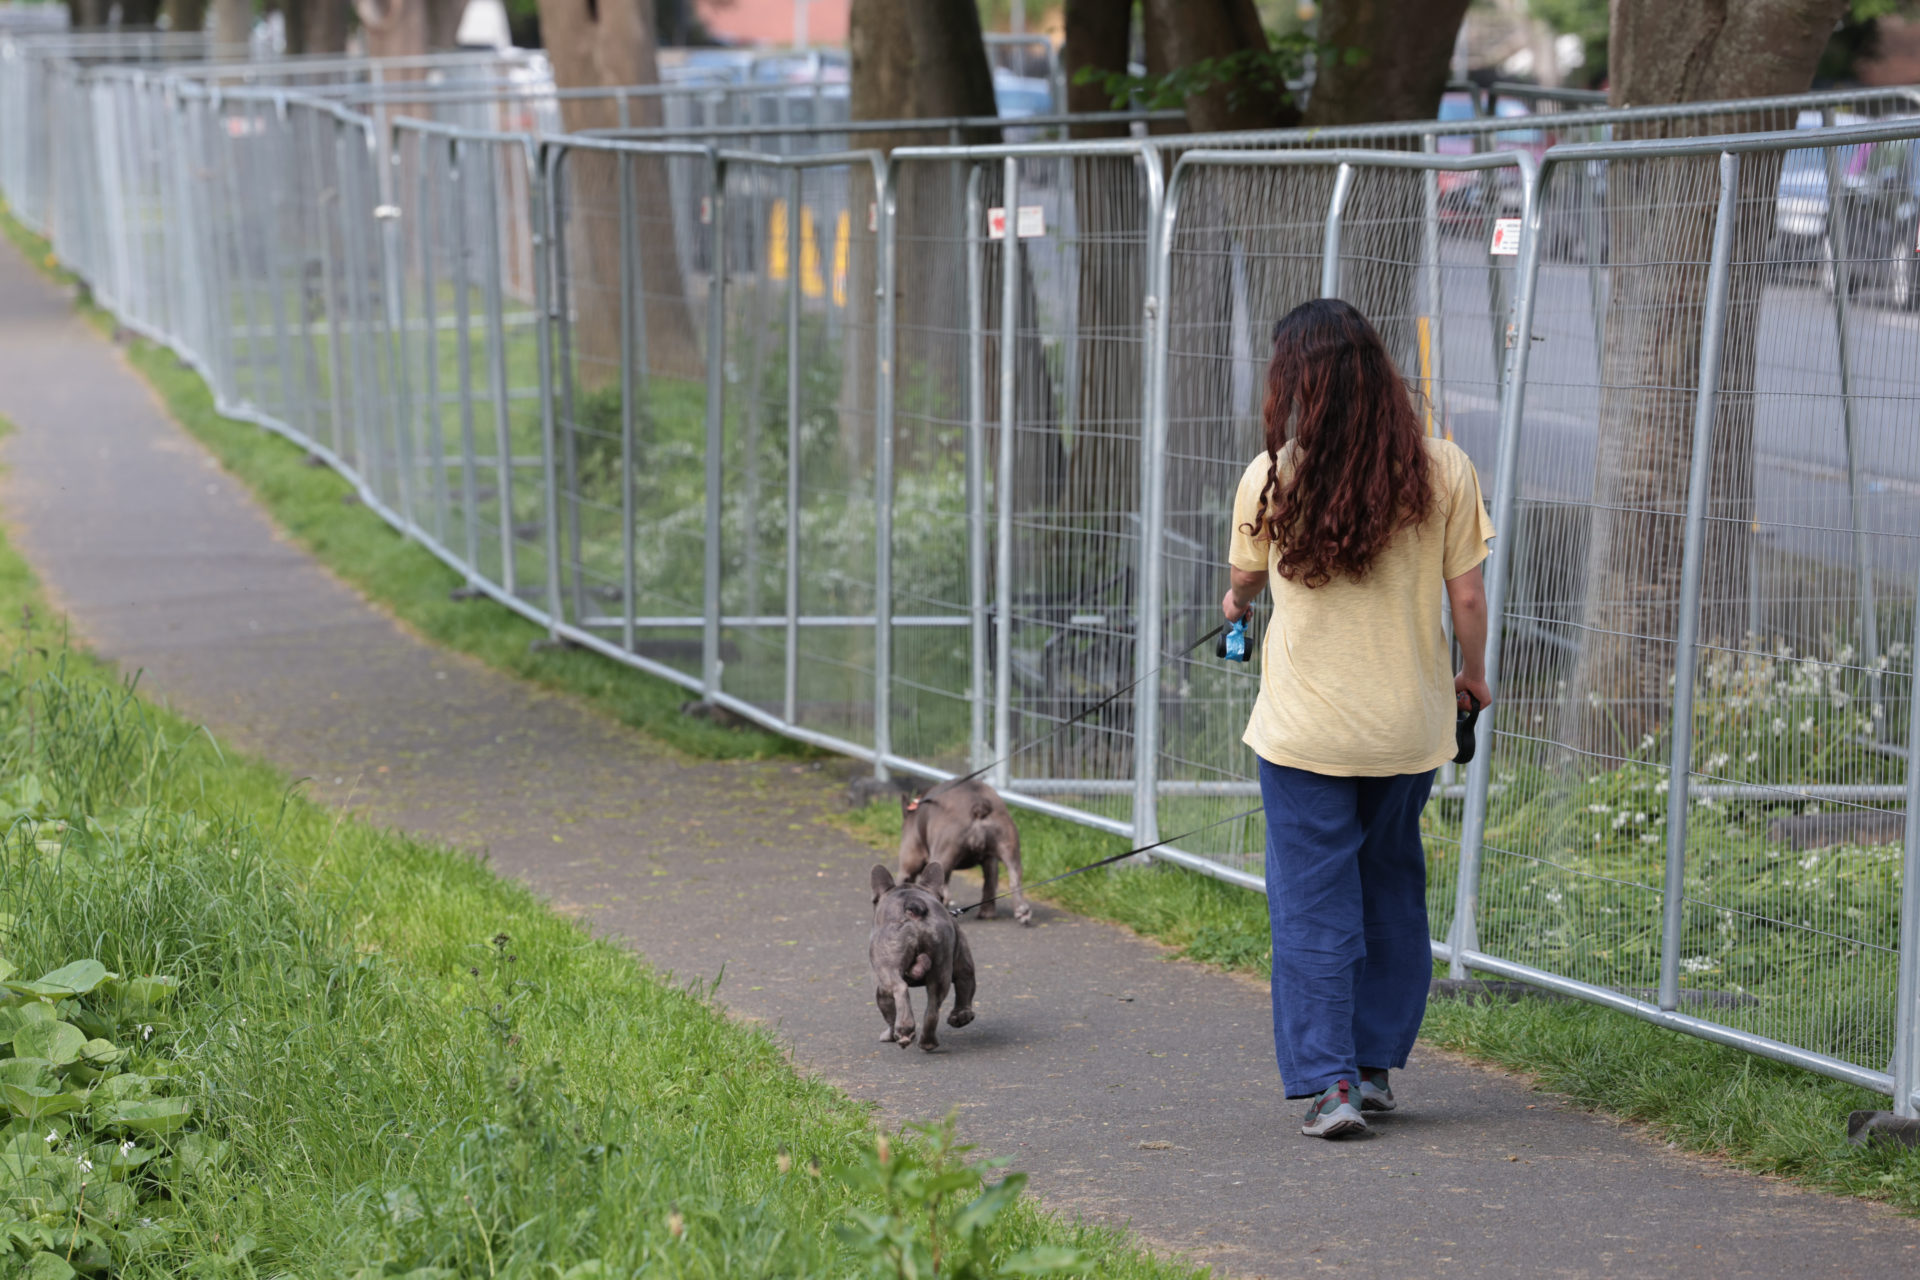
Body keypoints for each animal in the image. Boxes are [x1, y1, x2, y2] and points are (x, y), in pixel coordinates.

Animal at [871, 859, 975, 1051]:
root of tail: (914, 906)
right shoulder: (964, 966)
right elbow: (965, 986)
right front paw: (961, 1016)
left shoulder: (881, 990)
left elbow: (889, 1015)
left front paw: (889, 1035)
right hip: (940, 968)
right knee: (933, 1009)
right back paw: (927, 1042)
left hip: (889, 969)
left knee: (899, 988)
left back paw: (905, 1031)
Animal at [902, 775, 1036, 924]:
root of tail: (979, 806)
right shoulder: (990, 859)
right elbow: (990, 882)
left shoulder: (909, 861)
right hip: (1007, 844)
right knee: (1011, 878)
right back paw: (1016, 912)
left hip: (942, 852)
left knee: (945, 893)